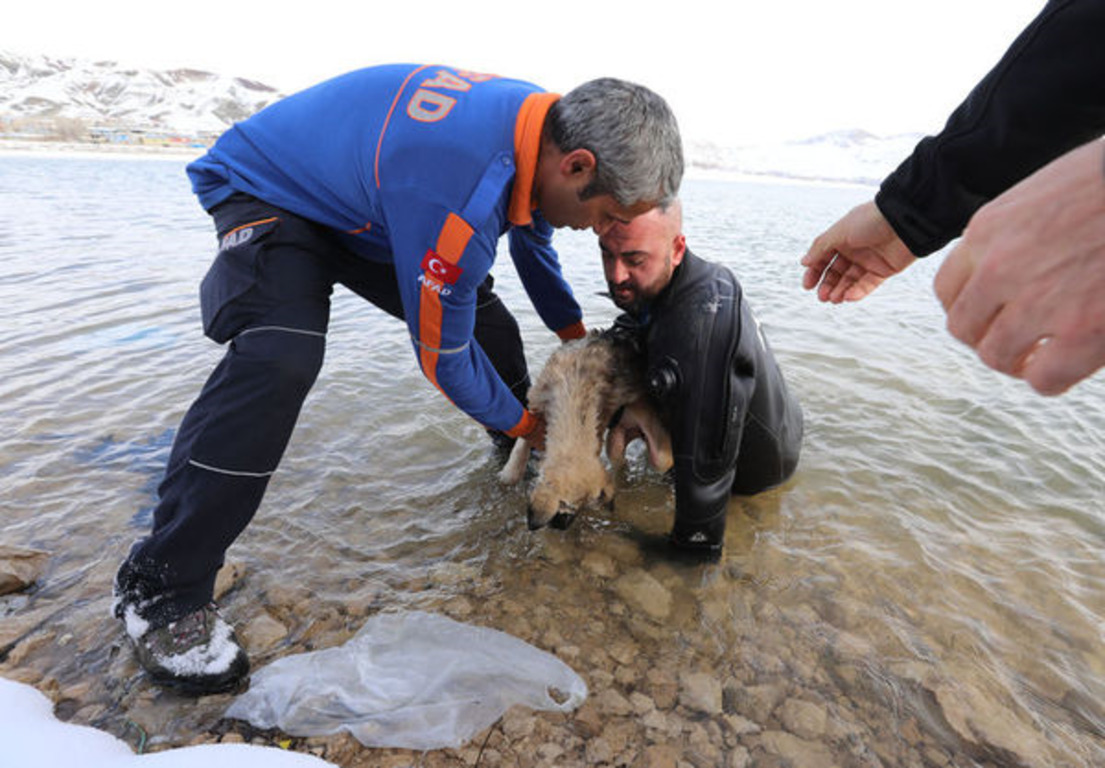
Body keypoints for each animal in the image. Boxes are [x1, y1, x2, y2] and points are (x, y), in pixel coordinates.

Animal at [501, 327, 671, 532]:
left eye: (576, 508)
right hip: (615, 441)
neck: (575, 392)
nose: (562, 527)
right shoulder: (536, 404)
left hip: (656, 451)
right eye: (564, 507)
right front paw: (510, 472)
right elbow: (522, 440)